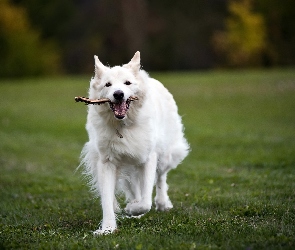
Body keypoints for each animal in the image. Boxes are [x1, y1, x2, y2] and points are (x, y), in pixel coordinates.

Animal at [79, 51, 190, 234]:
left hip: (164, 156)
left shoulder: (148, 158)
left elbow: (146, 201)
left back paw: (162, 203)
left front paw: (133, 209)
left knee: (161, 178)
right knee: (134, 187)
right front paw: (108, 228)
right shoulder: (107, 162)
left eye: (127, 83)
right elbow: (107, 199)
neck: (123, 126)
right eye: (108, 84)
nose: (118, 94)